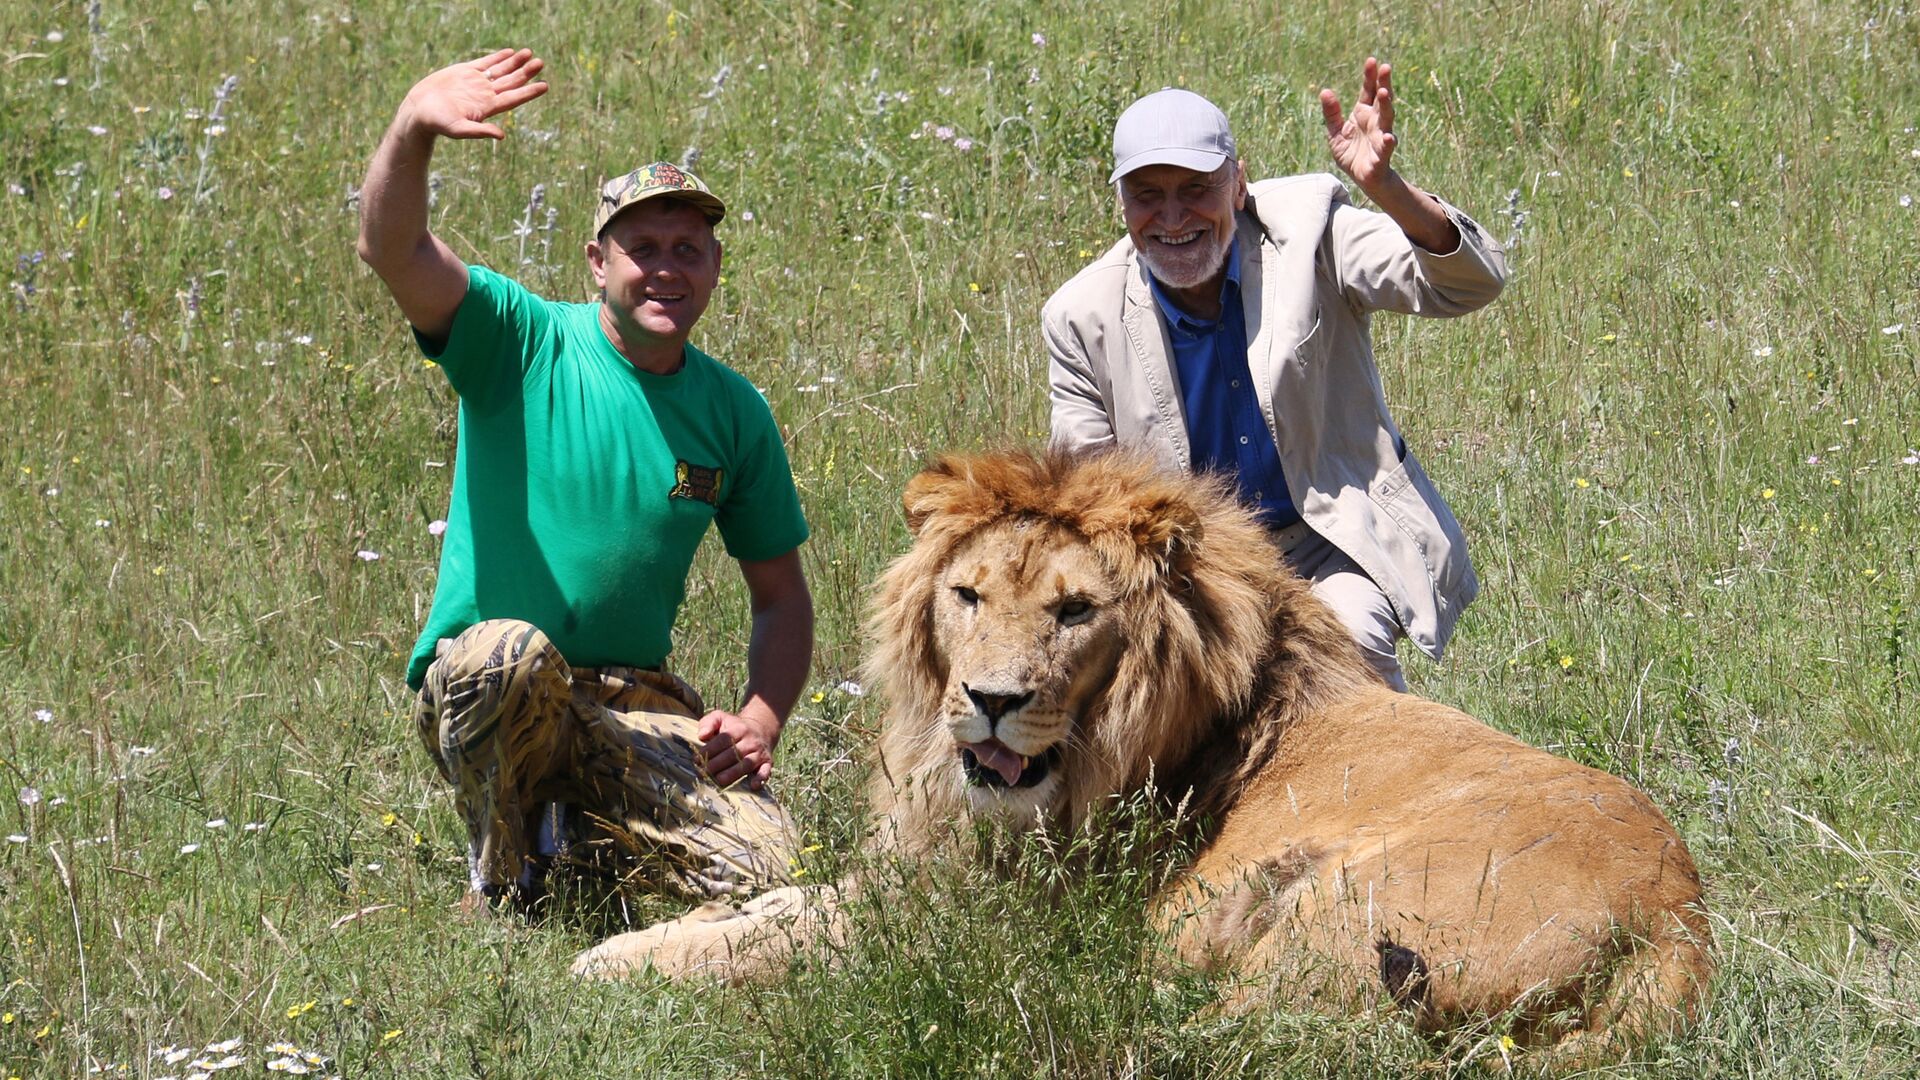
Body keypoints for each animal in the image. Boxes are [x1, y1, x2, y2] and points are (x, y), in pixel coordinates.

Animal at [572, 447, 1712, 1068]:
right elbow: (779, 907)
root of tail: (1681, 928)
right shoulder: (927, 871)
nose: (990, 703)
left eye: (1074, 612)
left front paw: (617, 965)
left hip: (1338, 914)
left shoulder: (979, 922)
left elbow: (775, 945)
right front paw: (659, 933)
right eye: (968, 595)